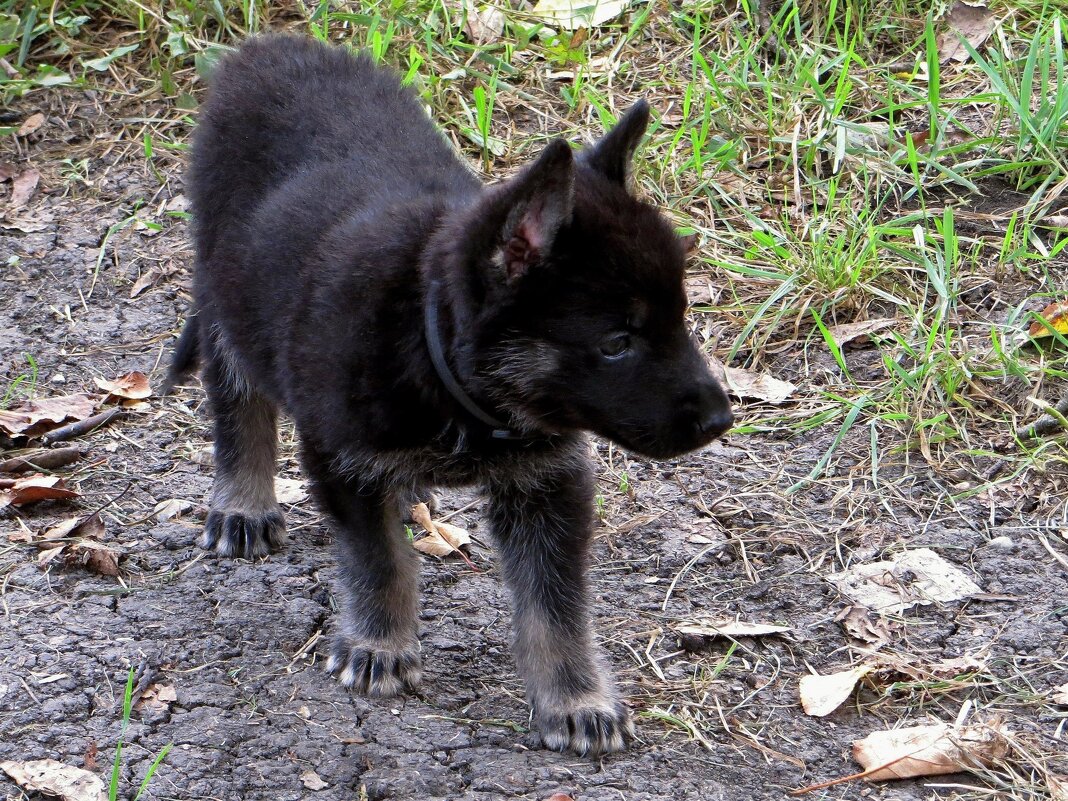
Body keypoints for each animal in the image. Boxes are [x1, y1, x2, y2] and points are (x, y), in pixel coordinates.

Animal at [170, 32, 734, 760]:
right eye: (617, 342)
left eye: (679, 319)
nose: (720, 419)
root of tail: (269, 47)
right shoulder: (341, 458)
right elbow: (380, 560)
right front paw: (380, 644)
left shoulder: (549, 480)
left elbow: (557, 603)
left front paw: (576, 698)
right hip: (225, 290)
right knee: (237, 398)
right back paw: (242, 502)